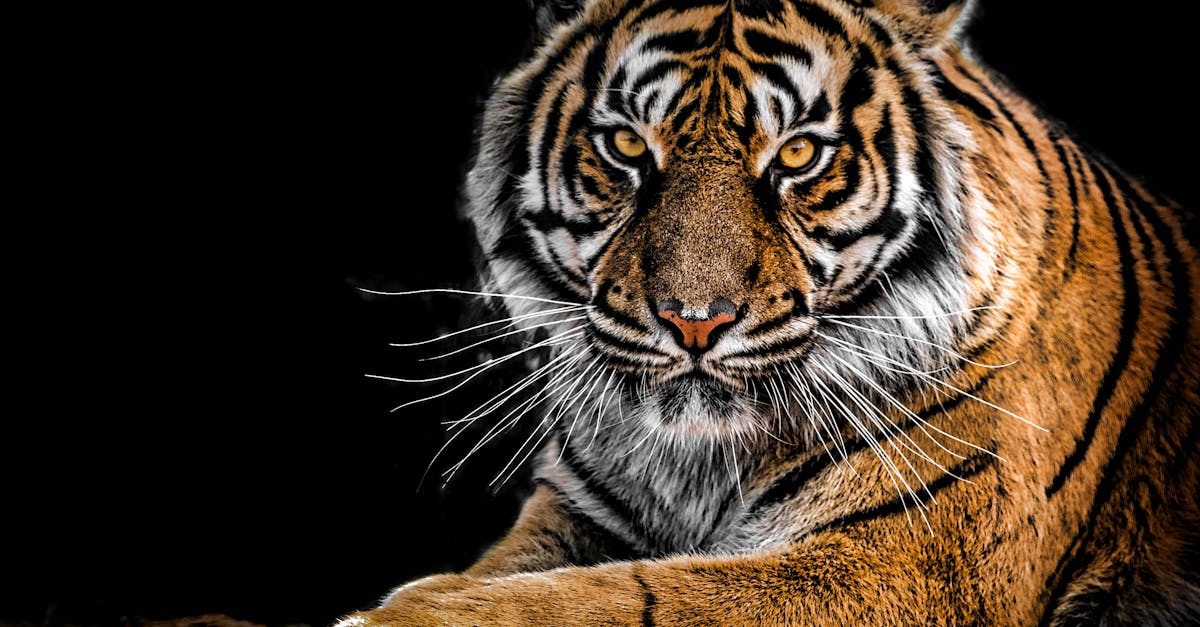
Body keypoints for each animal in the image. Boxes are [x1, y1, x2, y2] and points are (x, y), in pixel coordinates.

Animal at [340, 0, 1199, 624]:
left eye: (797, 154)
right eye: (627, 146)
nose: (694, 320)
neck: (697, 461)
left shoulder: (907, 560)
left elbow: (631, 596)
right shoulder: (576, 511)